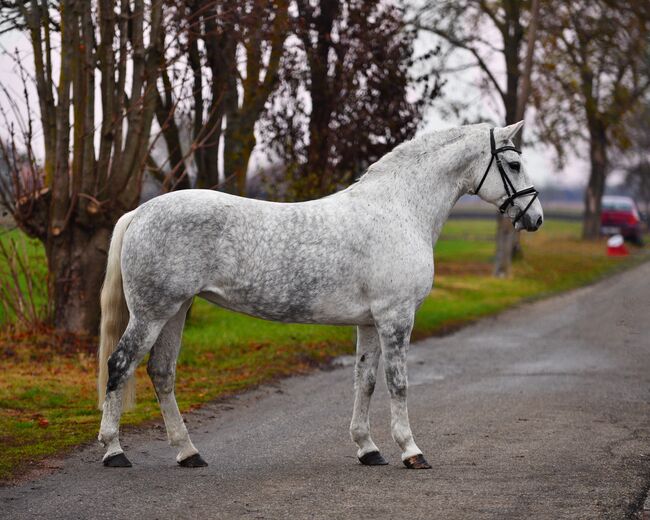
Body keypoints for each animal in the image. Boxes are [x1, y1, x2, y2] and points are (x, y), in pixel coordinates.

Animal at [96, 123, 540, 472]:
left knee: (161, 373)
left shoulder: (370, 322)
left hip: (176, 310)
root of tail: (139, 213)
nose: (534, 218)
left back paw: (188, 453)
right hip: (152, 313)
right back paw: (114, 451)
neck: (399, 210)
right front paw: (411, 451)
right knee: (119, 365)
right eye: (514, 164)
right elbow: (398, 383)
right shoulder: (396, 317)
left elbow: (365, 382)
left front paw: (368, 449)